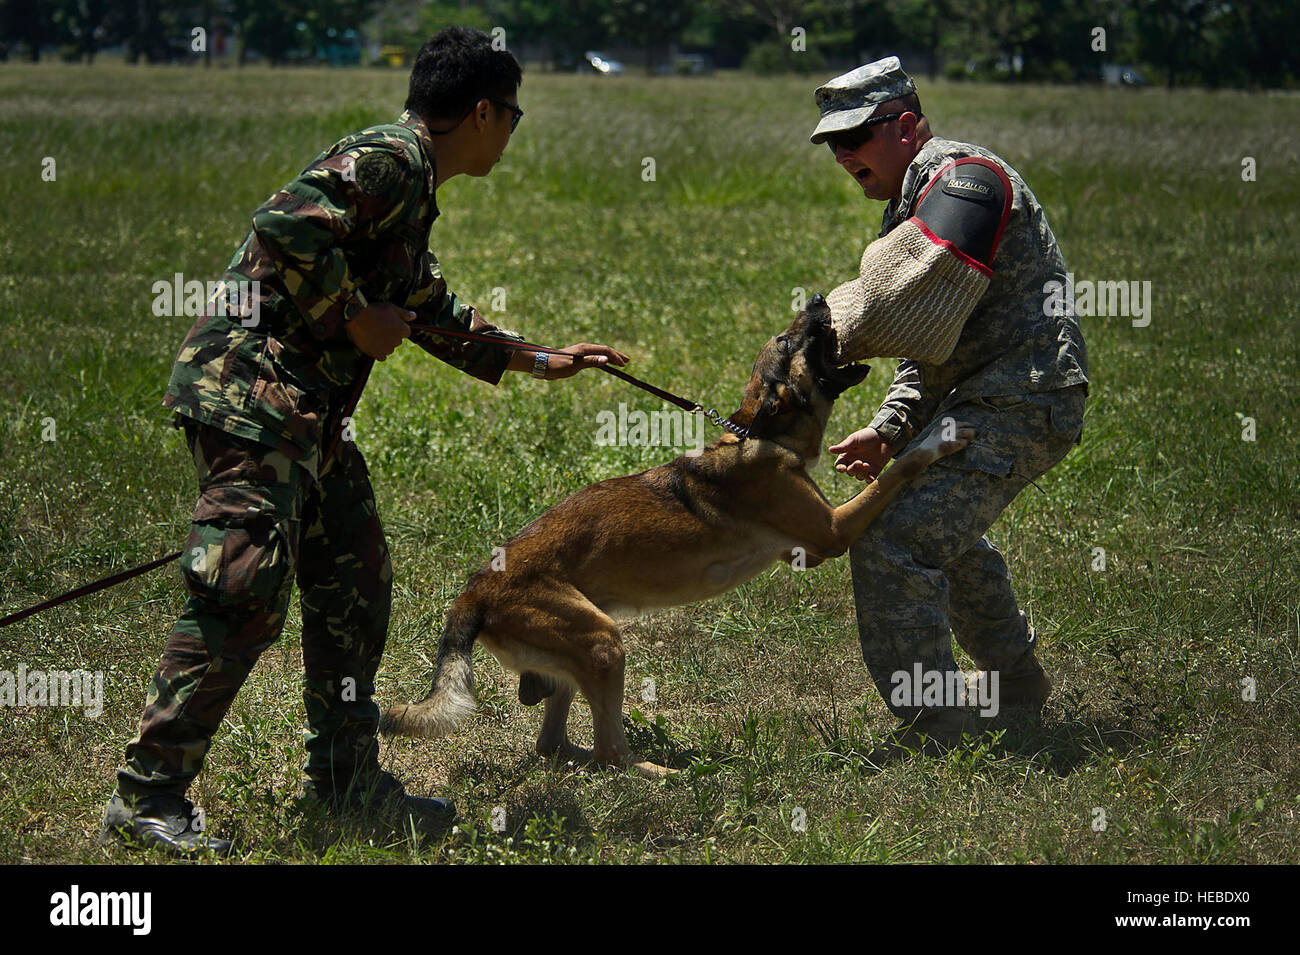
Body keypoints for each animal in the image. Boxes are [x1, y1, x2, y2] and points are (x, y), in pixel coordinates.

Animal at [379, 297, 972, 779]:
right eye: (788, 342)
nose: (817, 298)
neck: (765, 434)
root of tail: (472, 592)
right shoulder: (833, 531)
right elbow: (898, 470)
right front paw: (938, 438)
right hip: (603, 642)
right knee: (609, 753)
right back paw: (663, 771)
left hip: (579, 650)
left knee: (556, 746)